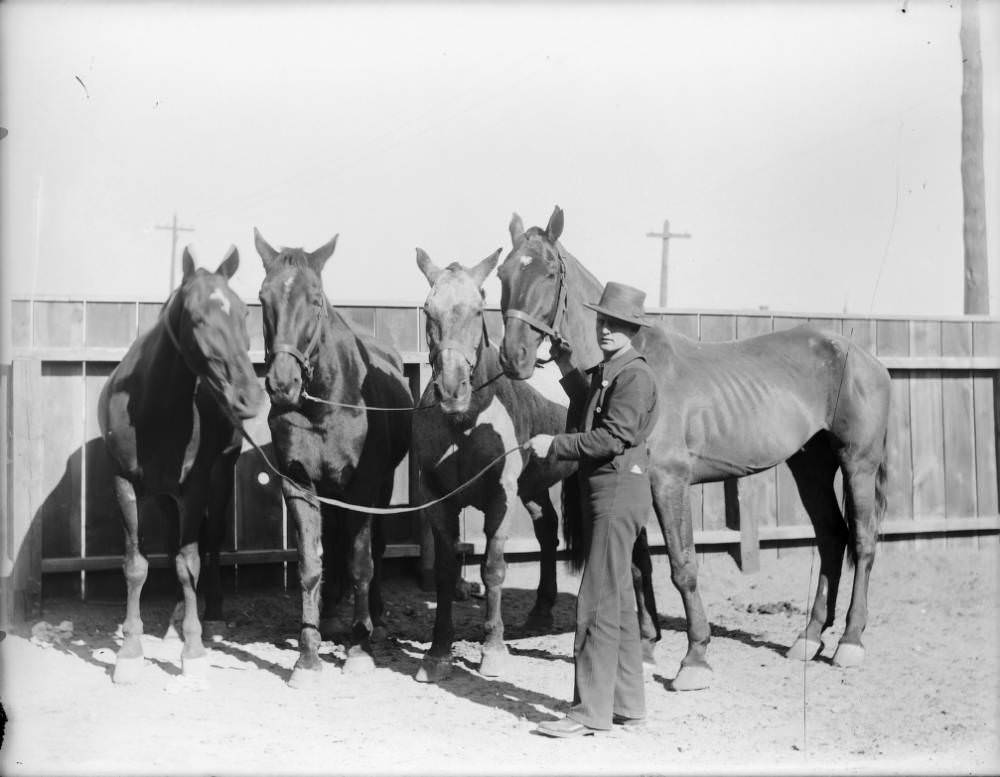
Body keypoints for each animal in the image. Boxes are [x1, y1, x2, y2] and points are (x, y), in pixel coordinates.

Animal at [98, 246, 266, 684]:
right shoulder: (124, 484)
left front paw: (193, 651)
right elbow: (136, 566)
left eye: (244, 311)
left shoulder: (194, 488)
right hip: (163, 497)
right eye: (196, 316)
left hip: (219, 479)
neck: (152, 407)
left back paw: (214, 615)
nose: (249, 398)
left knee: (210, 543)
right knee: (176, 542)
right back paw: (174, 622)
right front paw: (130, 651)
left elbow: (189, 564)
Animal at [258, 227, 414, 688]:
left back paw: (373, 618)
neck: (326, 401)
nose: (283, 384)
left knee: (374, 546)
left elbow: (362, 562)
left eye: (316, 299)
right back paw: (328, 615)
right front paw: (308, 656)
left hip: (381, 489)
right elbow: (311, 563)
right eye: (262, 297)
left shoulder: (363, 486)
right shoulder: (300, 485)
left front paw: (360, 649)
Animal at [498, 208, 892, 692]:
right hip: (810, 467)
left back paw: (850, 642)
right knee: (833, 537)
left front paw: (695, 659)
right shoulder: (633, 483)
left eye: (549, 273)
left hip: (857, 464)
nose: (513, 356)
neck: (630, 365)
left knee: (863, 540)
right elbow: (637, 566)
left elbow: (682, 566)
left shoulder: (670, 482)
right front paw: (646, 646)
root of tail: (861, 355)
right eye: (503, 272)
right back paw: (809, 637)